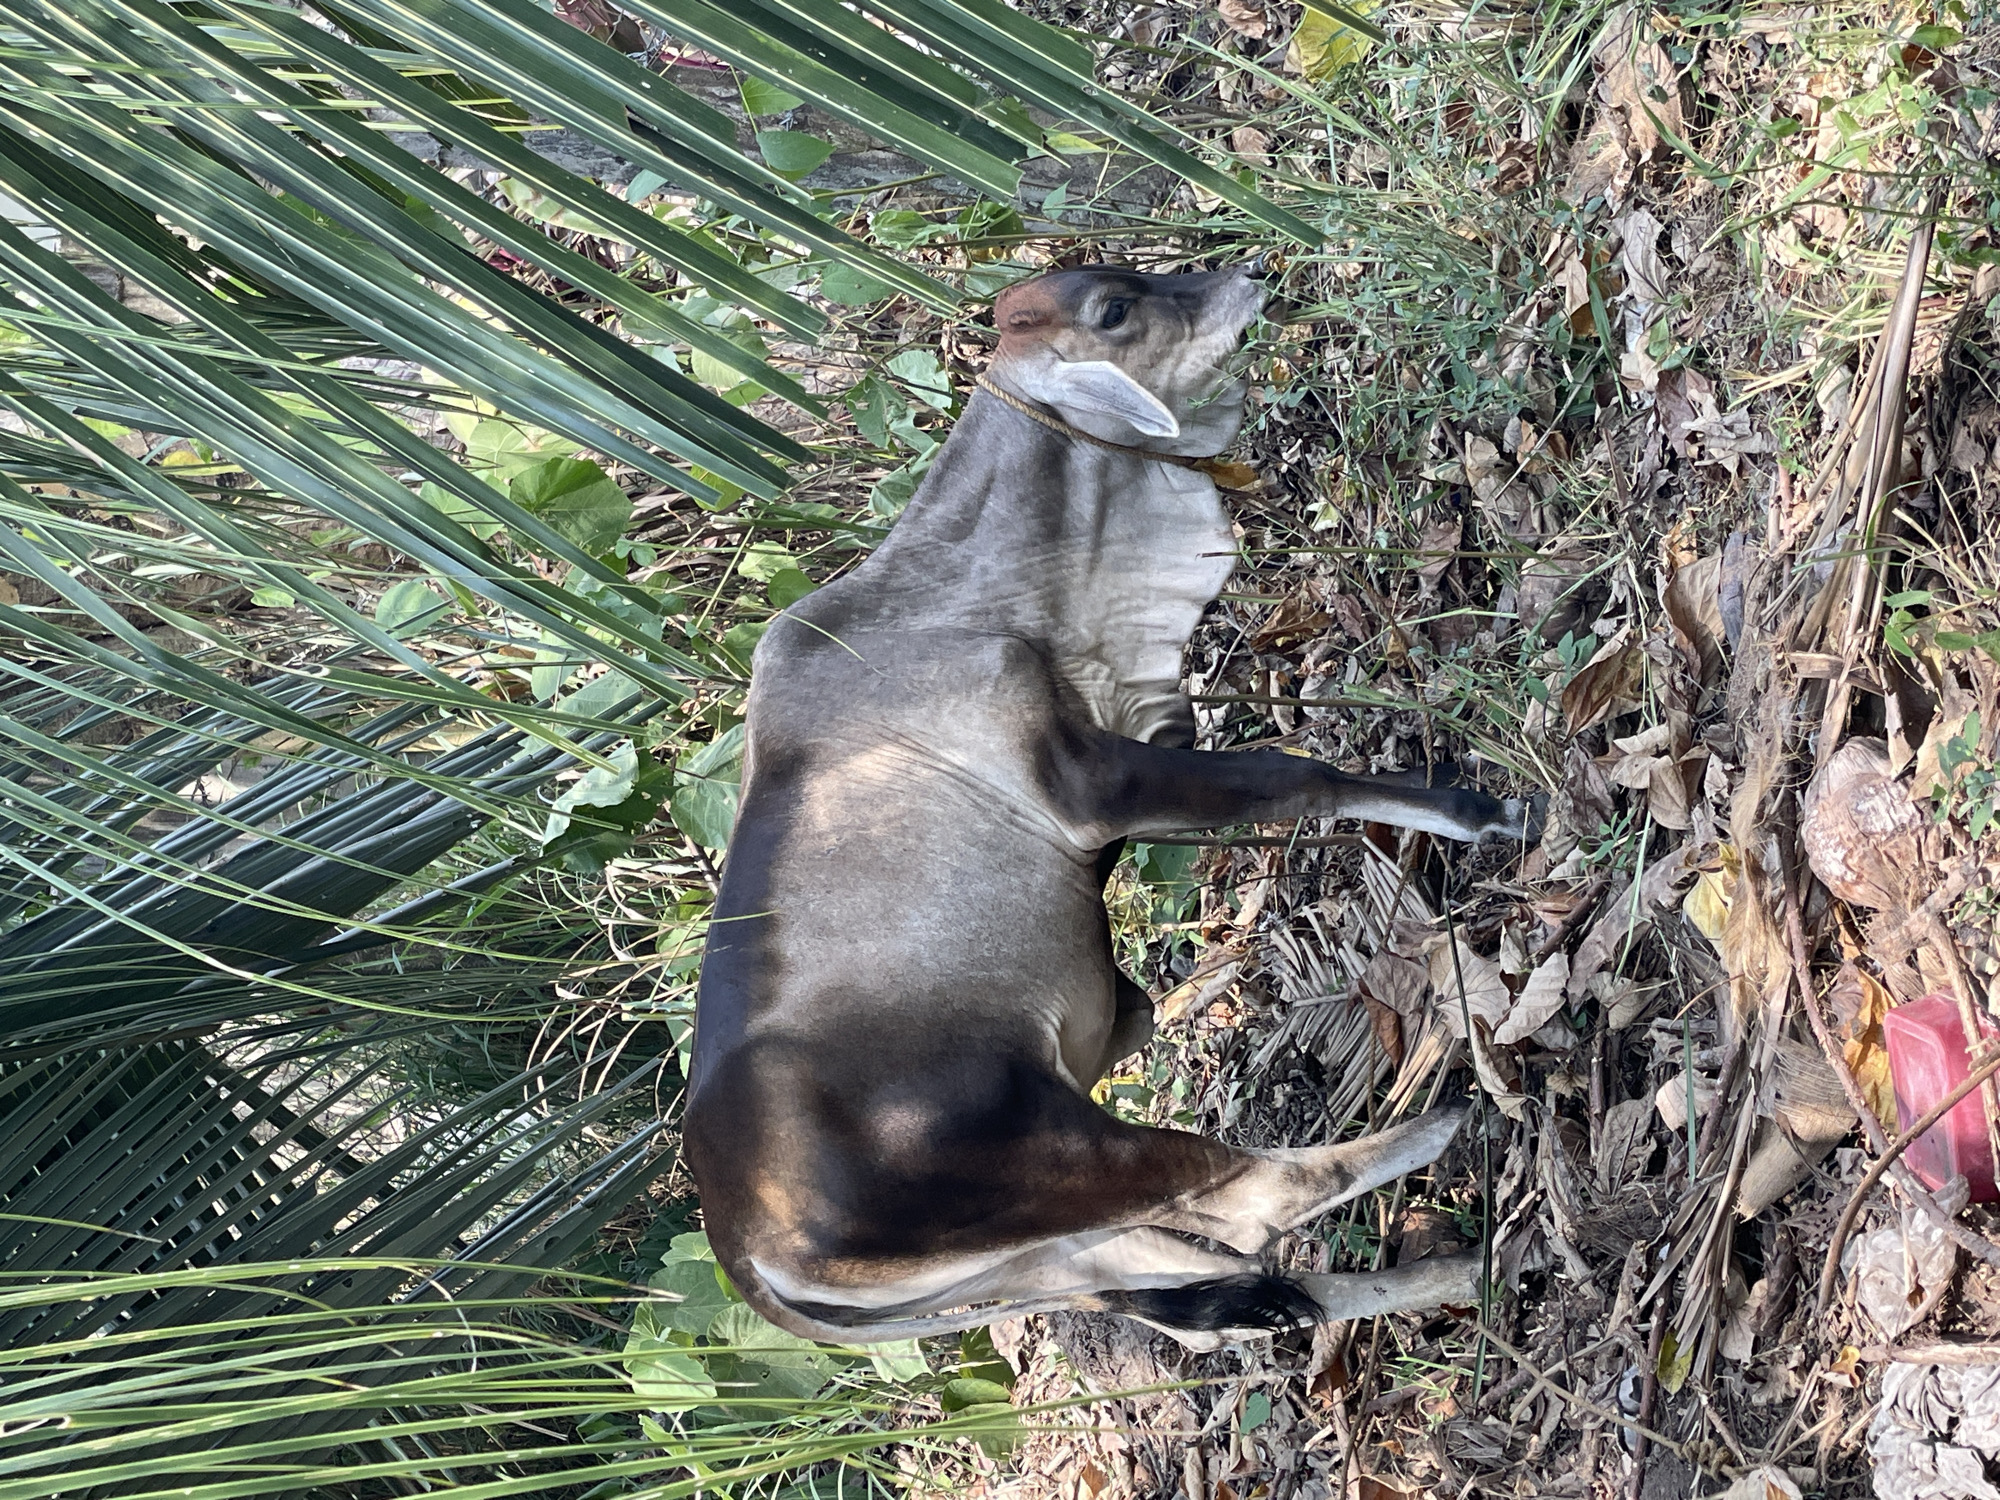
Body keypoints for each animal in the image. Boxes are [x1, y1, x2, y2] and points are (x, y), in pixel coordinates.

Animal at [683, 263, 1531, 1347]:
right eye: (1113, 313)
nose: (1246, 274)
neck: (951, 602)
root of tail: (748, 1254)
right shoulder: (1091, 783)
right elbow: (1295, 776)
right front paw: (1482, 812)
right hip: (1061, 1154)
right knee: (1251, 1201)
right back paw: (1447, 1120)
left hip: (1062, 1256)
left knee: (1223, 1297)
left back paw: (1463, 1271)